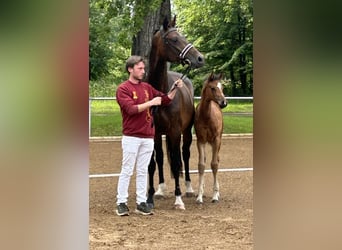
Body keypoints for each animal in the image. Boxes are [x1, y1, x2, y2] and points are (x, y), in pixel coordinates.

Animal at [146, 16, 203, 210]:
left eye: (182, 36)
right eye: (174, 39)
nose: (200, 58)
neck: (162, 93)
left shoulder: (176, 131)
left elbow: (178, 161)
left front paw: (178, 199)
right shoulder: (155, 133)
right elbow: (155, 162)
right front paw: (152, 195)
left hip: (185, 132)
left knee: (184, 154)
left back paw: (189, 188)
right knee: (164, 157)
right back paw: (161, 189)